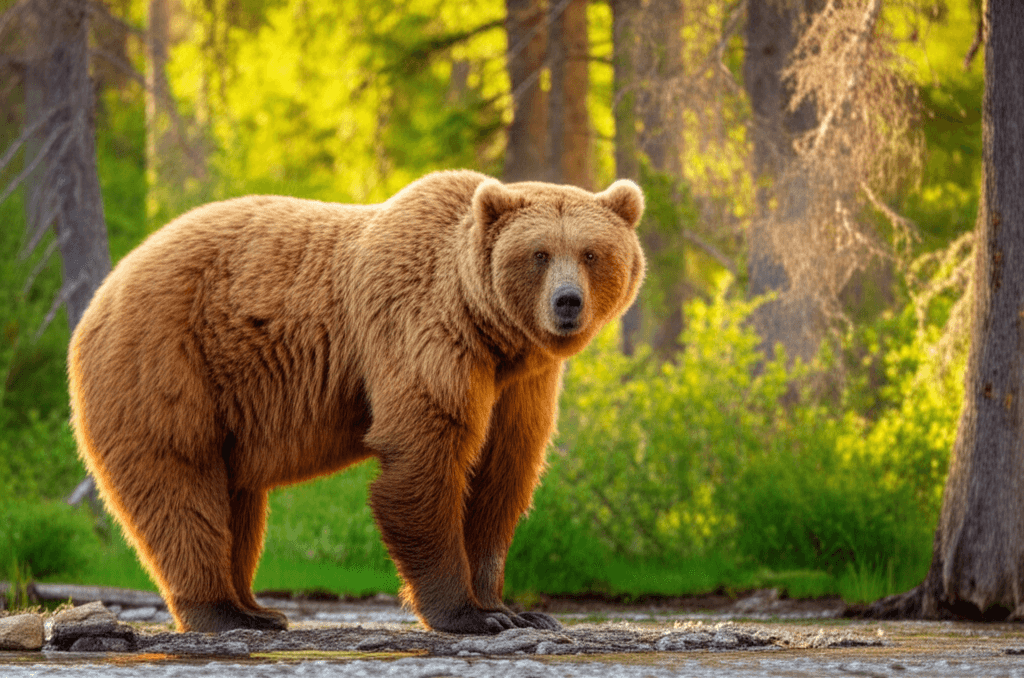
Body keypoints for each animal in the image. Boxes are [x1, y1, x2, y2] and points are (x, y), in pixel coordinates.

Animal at [68, 169, 645, 634]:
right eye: (539, 253)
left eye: (591, 253)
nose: (567, 302)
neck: (489, 330)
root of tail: (103, 293)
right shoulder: (422, 332)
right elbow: (422, 461)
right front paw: (470, 614)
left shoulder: (521, 382)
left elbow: (502, 473)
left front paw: (514, 609)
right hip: (166, 363)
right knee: (180, 484)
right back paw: (223, 611)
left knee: (237, 501)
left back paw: (257, 608)